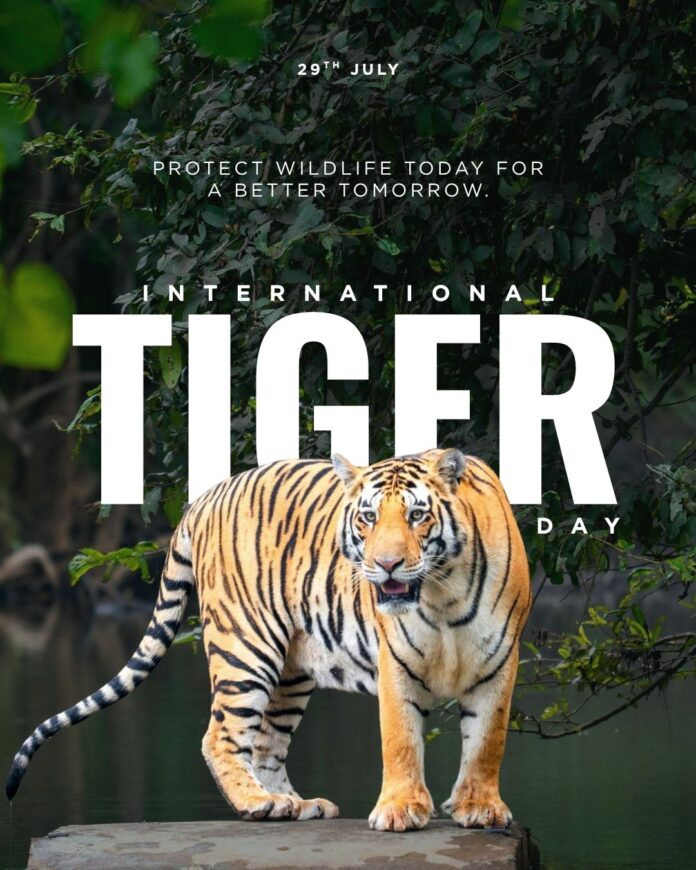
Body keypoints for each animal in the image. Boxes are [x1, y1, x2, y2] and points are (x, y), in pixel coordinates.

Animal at [6, 448, 531, 832]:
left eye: (418, 515)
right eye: (367, 518)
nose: (386, 565)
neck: (443, 596)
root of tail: (206, 496)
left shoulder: (499, 661)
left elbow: (486, 740)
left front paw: (479, 808)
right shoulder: (396, 662)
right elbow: (401, 739)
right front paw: (401, 810)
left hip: (291, 670)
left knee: (264, 744)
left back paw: (291, 803)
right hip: (246, 648)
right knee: (221, 737)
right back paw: (258, 803)